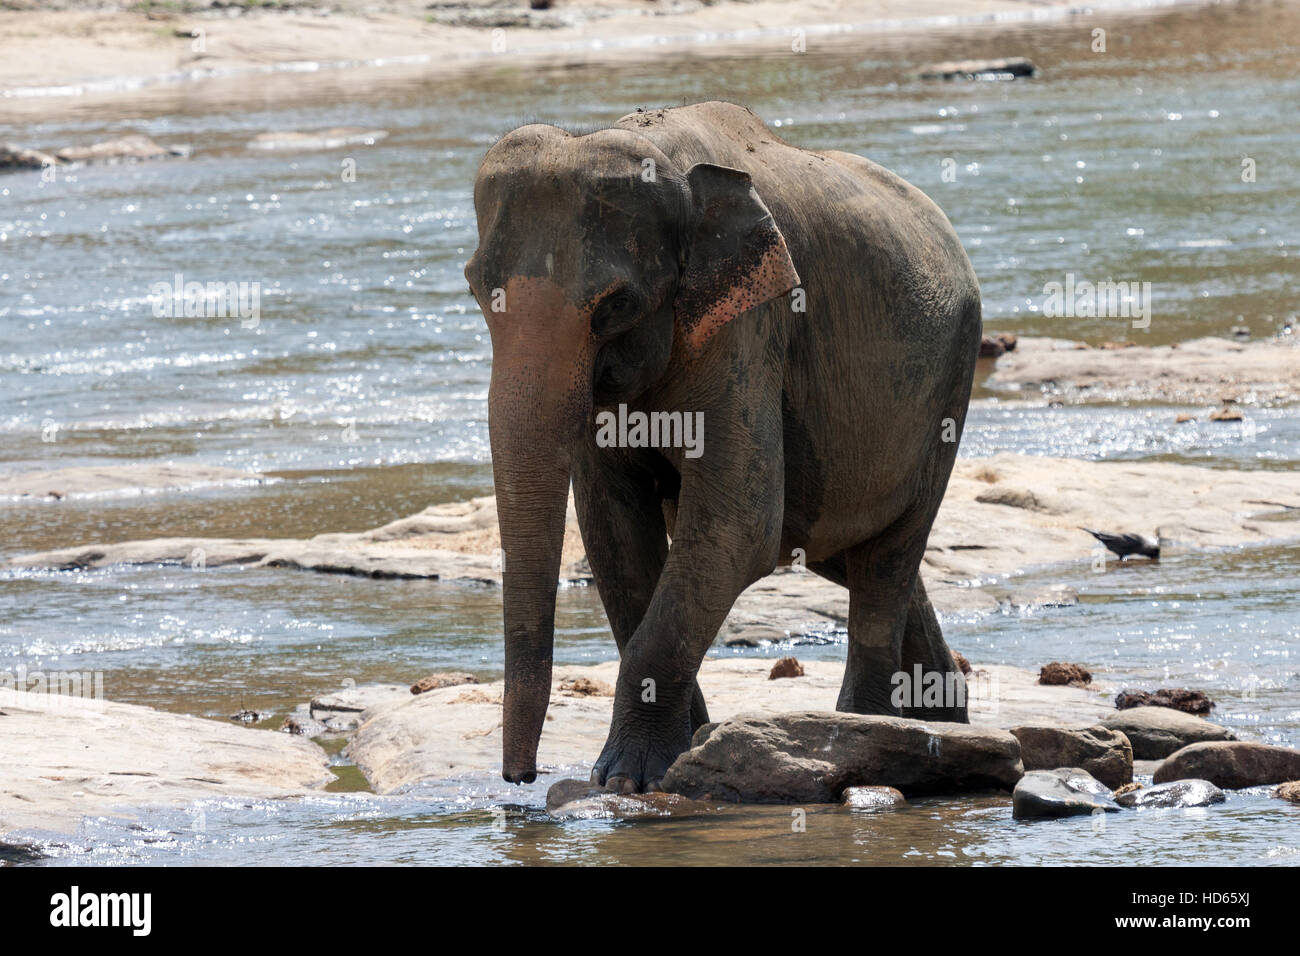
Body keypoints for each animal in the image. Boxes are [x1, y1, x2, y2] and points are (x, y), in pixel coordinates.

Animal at [463, 101, 981, 794]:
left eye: (616, 306)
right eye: (475, 289)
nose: (520, 780)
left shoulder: (749, 326)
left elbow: (739, 523)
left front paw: (627, 778)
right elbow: (614, 536)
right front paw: (675, 749)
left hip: (949, 385)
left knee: (888, 553)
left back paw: (868, 727)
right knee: (847, 547)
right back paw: (943, 719)